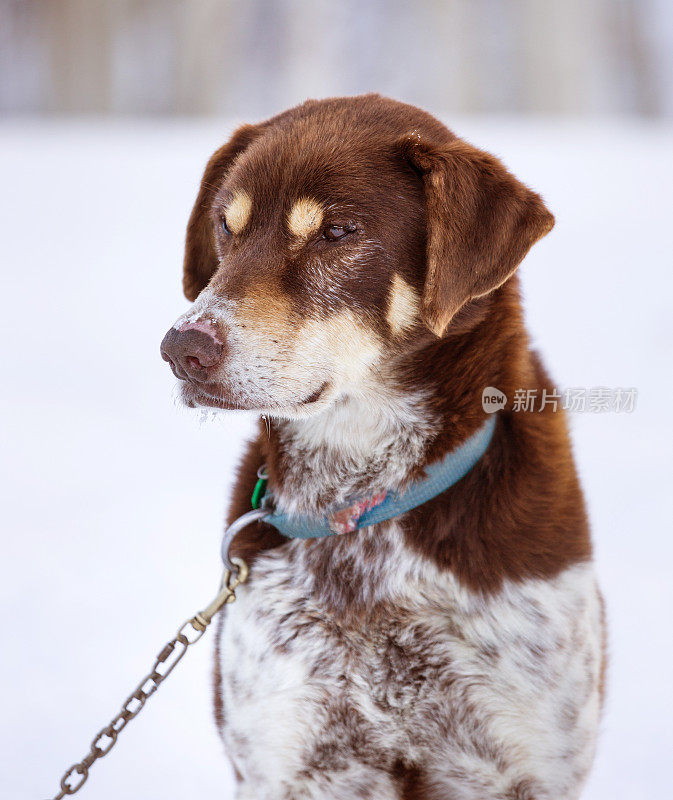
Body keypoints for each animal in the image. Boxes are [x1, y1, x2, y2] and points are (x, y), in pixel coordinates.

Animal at [161, 95, 604, 800]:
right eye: (226, 228)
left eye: (337, 232)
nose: (181, 349)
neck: (362, 509)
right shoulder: (285, 759)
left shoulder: (530, 766)